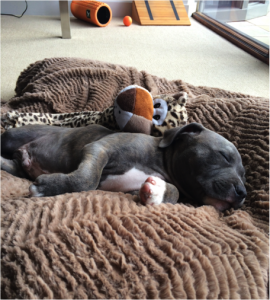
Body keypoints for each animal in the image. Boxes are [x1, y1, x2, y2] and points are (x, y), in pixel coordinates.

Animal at [0, 122, 246, 211]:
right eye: (224, 156)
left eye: (244, 175)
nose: (243, 193)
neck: (160, 161)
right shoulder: (99, 148)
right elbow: (87, 179)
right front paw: (46, 187)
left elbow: (174, 191)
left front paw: (156, 192)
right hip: (12, 136)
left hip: (16, 166)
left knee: (10, 165)